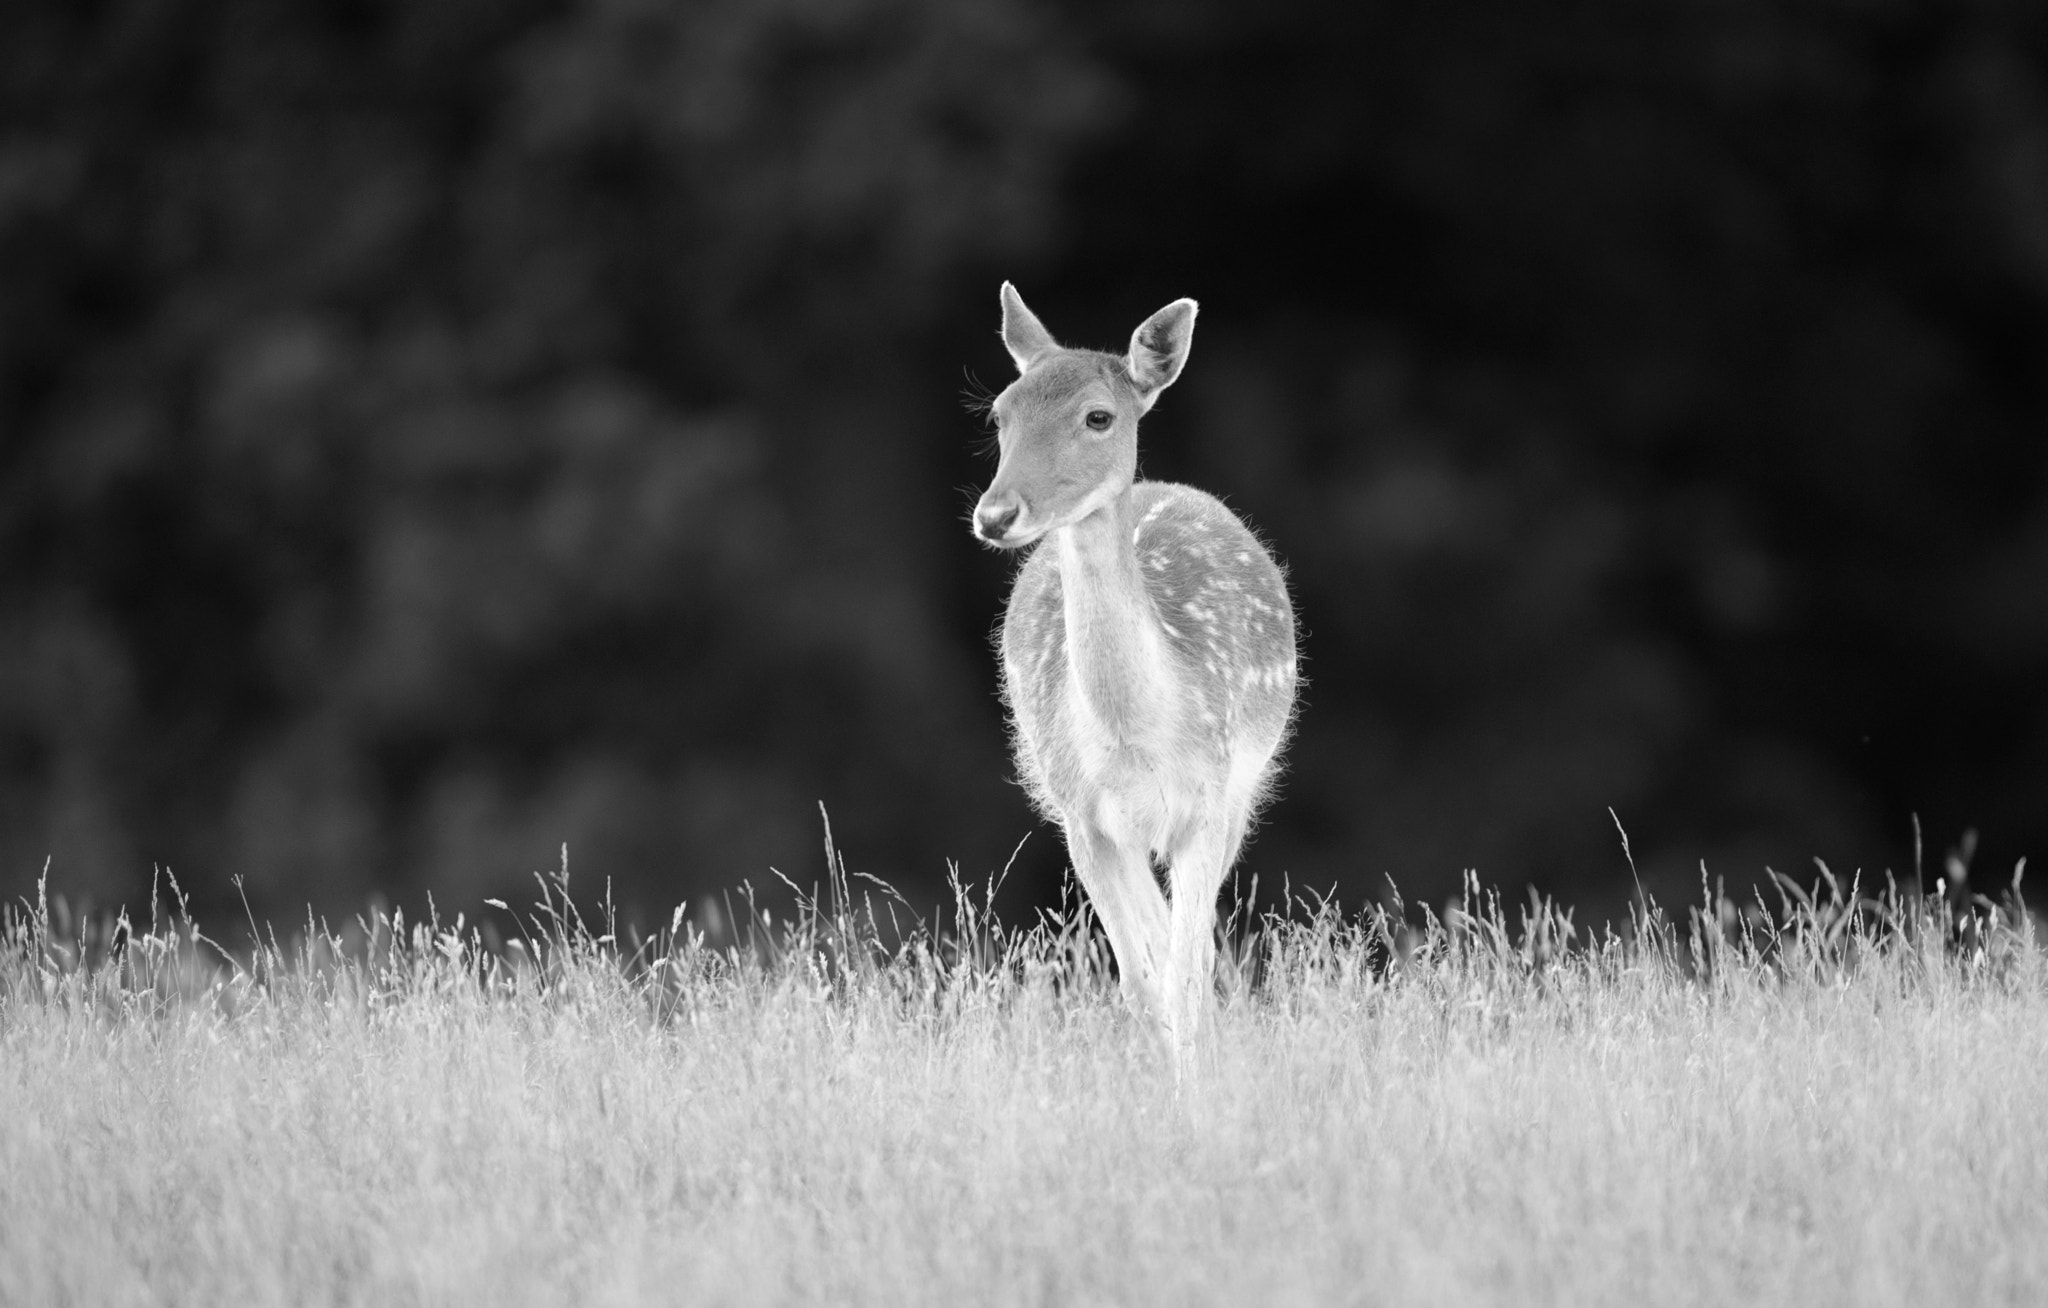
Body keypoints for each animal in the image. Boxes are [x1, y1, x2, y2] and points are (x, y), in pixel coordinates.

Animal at [970, 282, 1298, 1063]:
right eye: (1000, 413)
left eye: (1099, 416)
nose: (994, 515)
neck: (1136, 738)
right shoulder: (1082, 815)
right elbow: (1140, 981)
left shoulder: (1208, 802)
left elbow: (1183, 978)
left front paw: (1198, 1089)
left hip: (1245, 789)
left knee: (1195, 948)